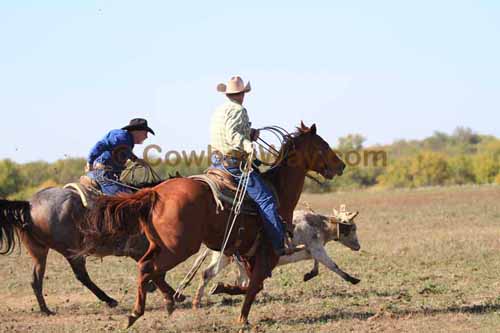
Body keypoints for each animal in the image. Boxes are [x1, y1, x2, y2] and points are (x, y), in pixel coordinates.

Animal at [0, 182, 184, 314]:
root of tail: (29, 204)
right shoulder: (139, 250)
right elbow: (155, 272)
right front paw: (175, 295)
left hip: (39, 252)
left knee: (36, 280)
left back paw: (46, 310)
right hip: (71, 252)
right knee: (81, 276)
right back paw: (110, 300)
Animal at [190, 205, 360, 308]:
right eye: (352, 228)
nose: (358, 246)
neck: (318, 224)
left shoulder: (313, 250)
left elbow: (317, 265)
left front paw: (309, 274)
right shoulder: (317, 249)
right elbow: (333, 266)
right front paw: (353, 279)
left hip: (227, 258)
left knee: (213, 274)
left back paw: (205, 297)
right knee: (230, 279)